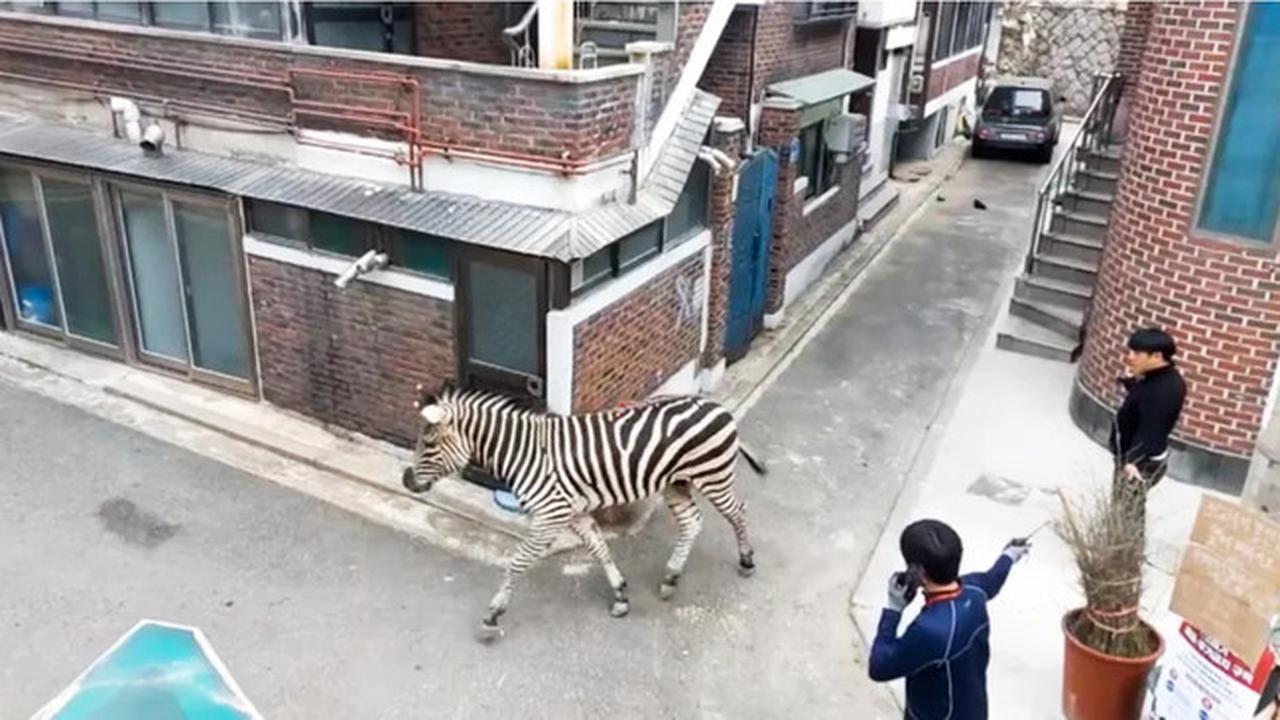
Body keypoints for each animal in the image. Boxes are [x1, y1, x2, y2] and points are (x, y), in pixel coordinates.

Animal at [401, 384, 766, 641]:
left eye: (429, 444)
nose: (406, 480)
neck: (525, 453)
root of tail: (715, 405)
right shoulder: (573, 514)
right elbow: (599, 549)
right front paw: (620, 595)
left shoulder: (549, 515)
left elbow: (517, 562)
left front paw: (493, 615)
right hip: (677, 483)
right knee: (692, 522)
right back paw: (671, 577)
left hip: (713, 476)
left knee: (738, 511)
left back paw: (747, 560)